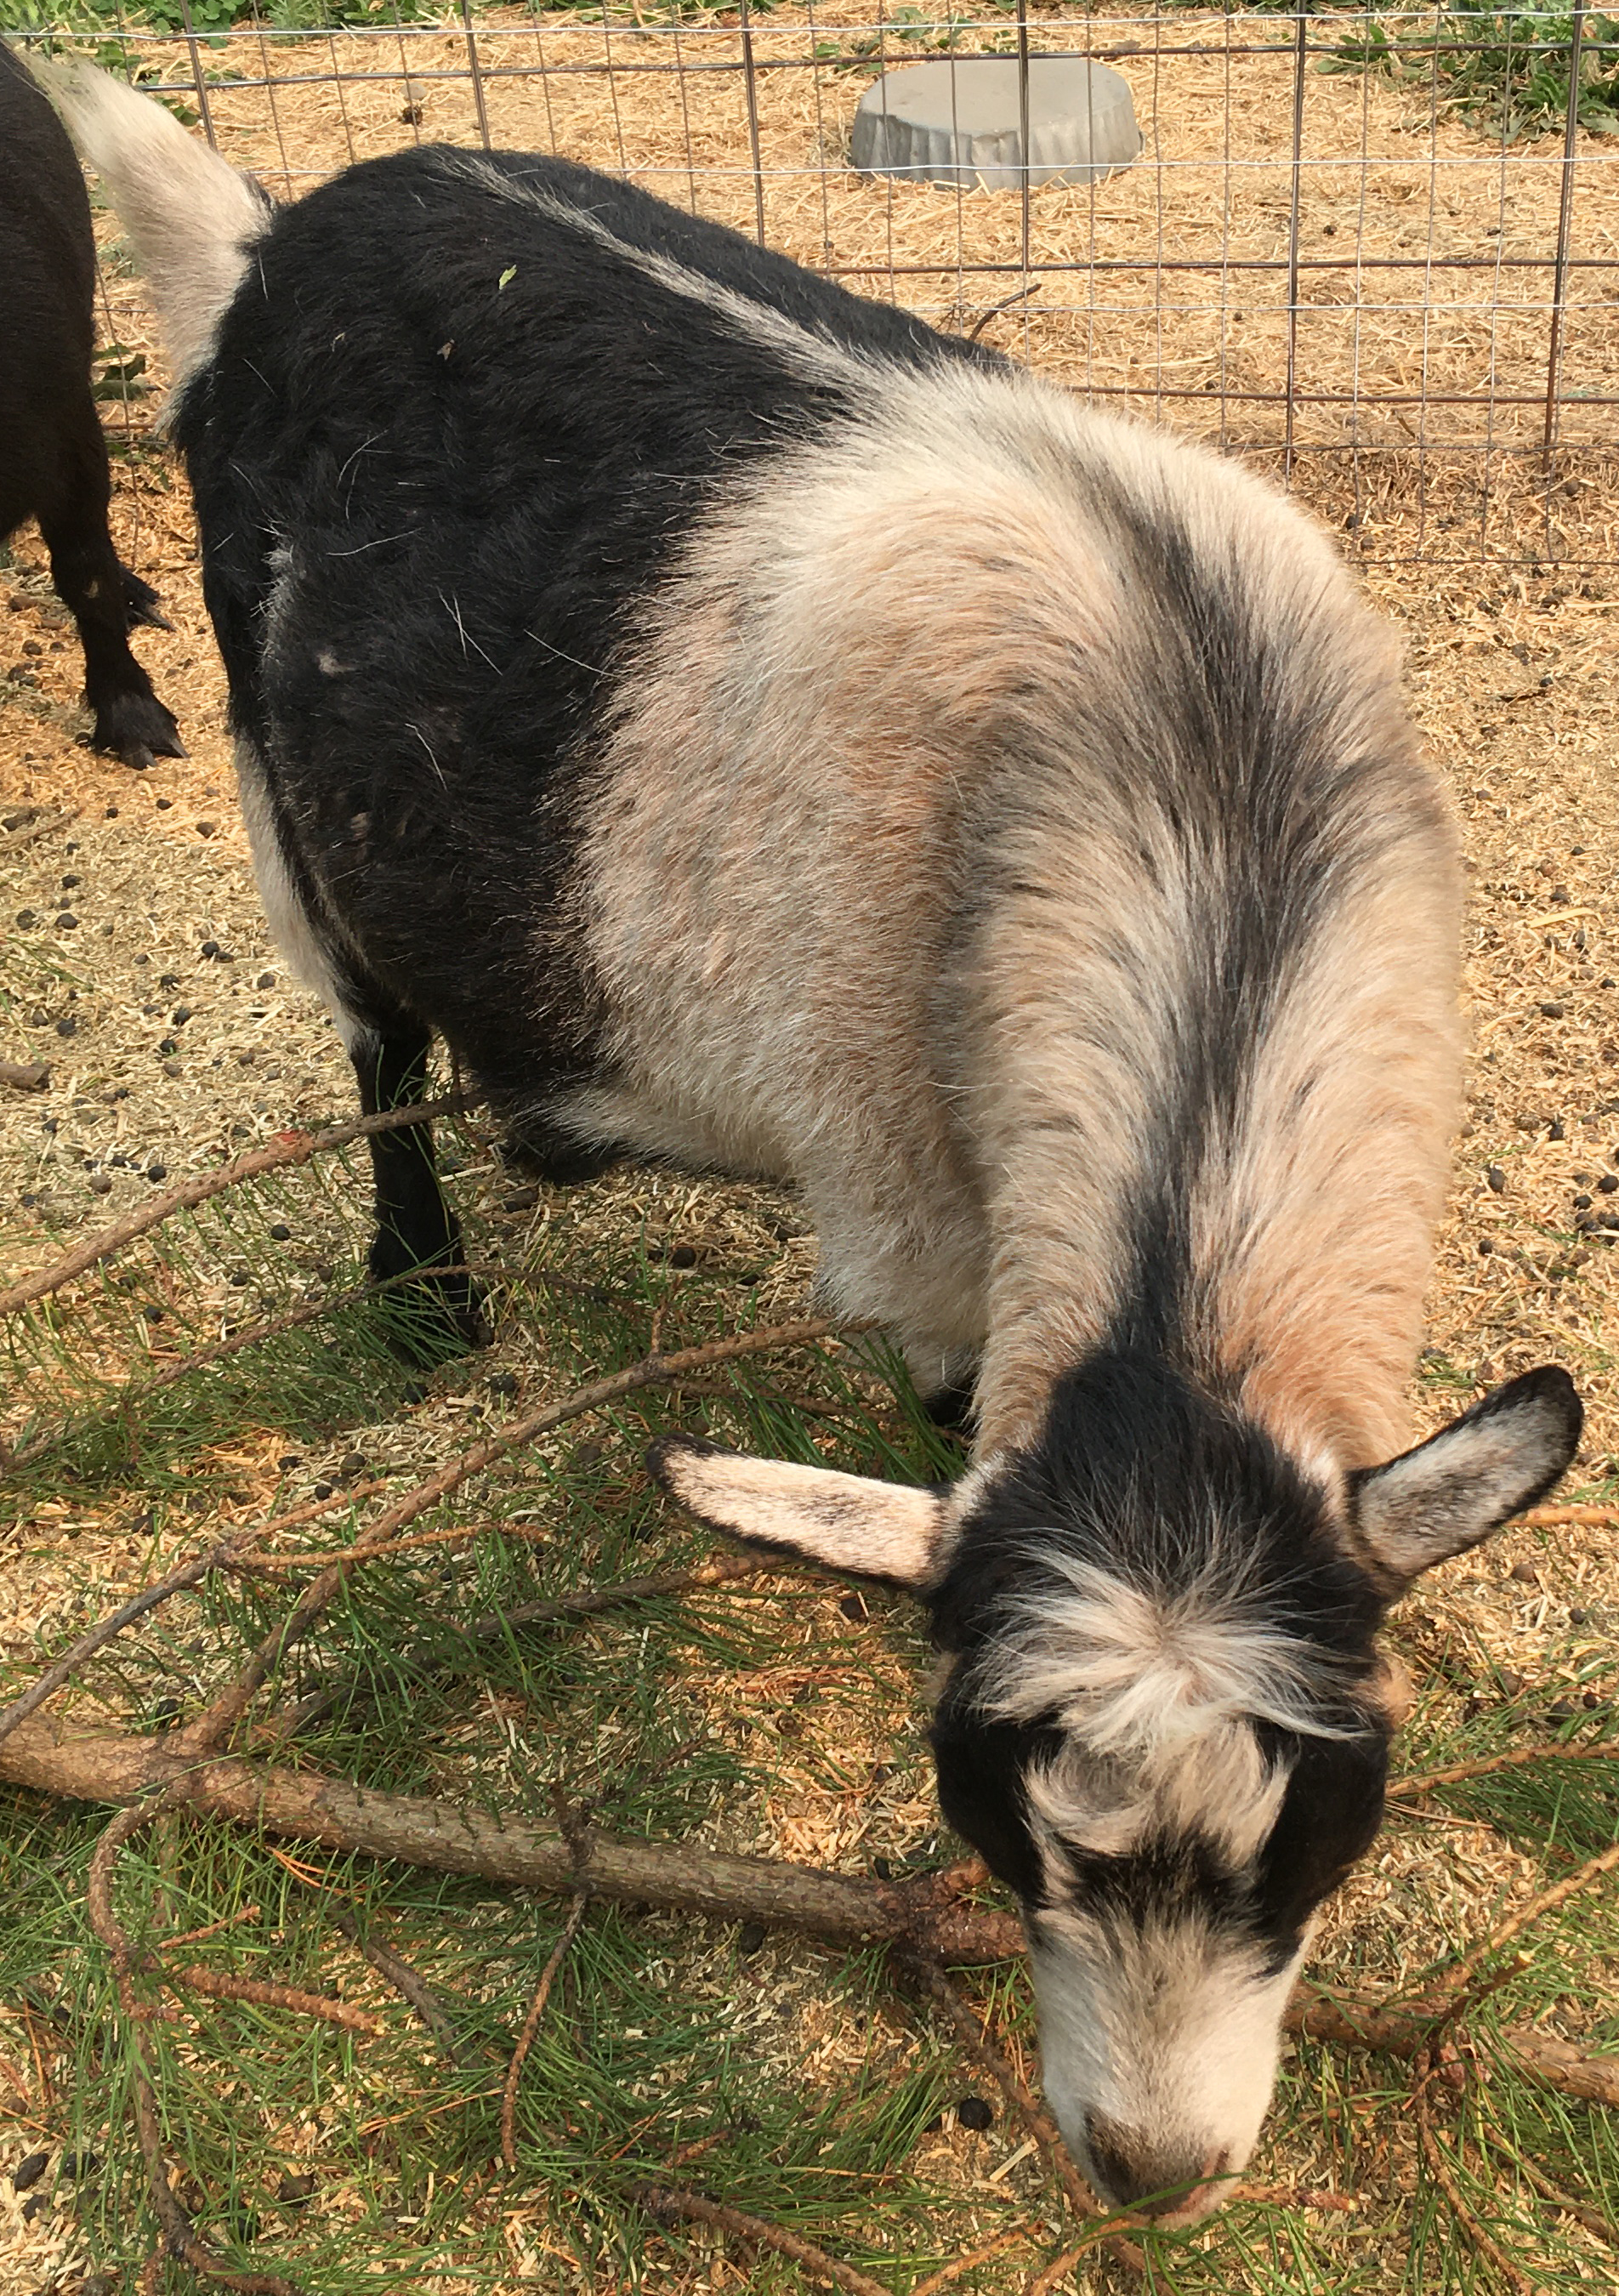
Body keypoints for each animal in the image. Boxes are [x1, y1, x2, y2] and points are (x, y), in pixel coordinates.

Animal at [47, 56, 1583, 2222]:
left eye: (1322, 1829)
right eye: (1005, 1815)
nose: (1153, 2166)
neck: (1201, 770)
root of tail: (274, 229)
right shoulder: (921, 1217)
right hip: (281, 775)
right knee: (368, 1032)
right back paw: (424, 1294)